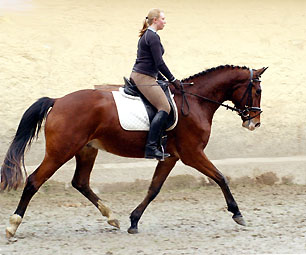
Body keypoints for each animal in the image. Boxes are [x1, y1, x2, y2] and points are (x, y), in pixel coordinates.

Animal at [0, 64, 268, 237]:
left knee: (80, 182)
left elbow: (153, 188)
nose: (254, 123)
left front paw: (134, 220)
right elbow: (221, 177)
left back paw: (112, 217)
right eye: (257, 91)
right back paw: (13, 225)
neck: (196, 101)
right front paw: (237, 213)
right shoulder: (192, 154)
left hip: (86, 150)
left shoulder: (171, 157)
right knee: (34, 181)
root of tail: (58, 101)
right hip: (60, 152)